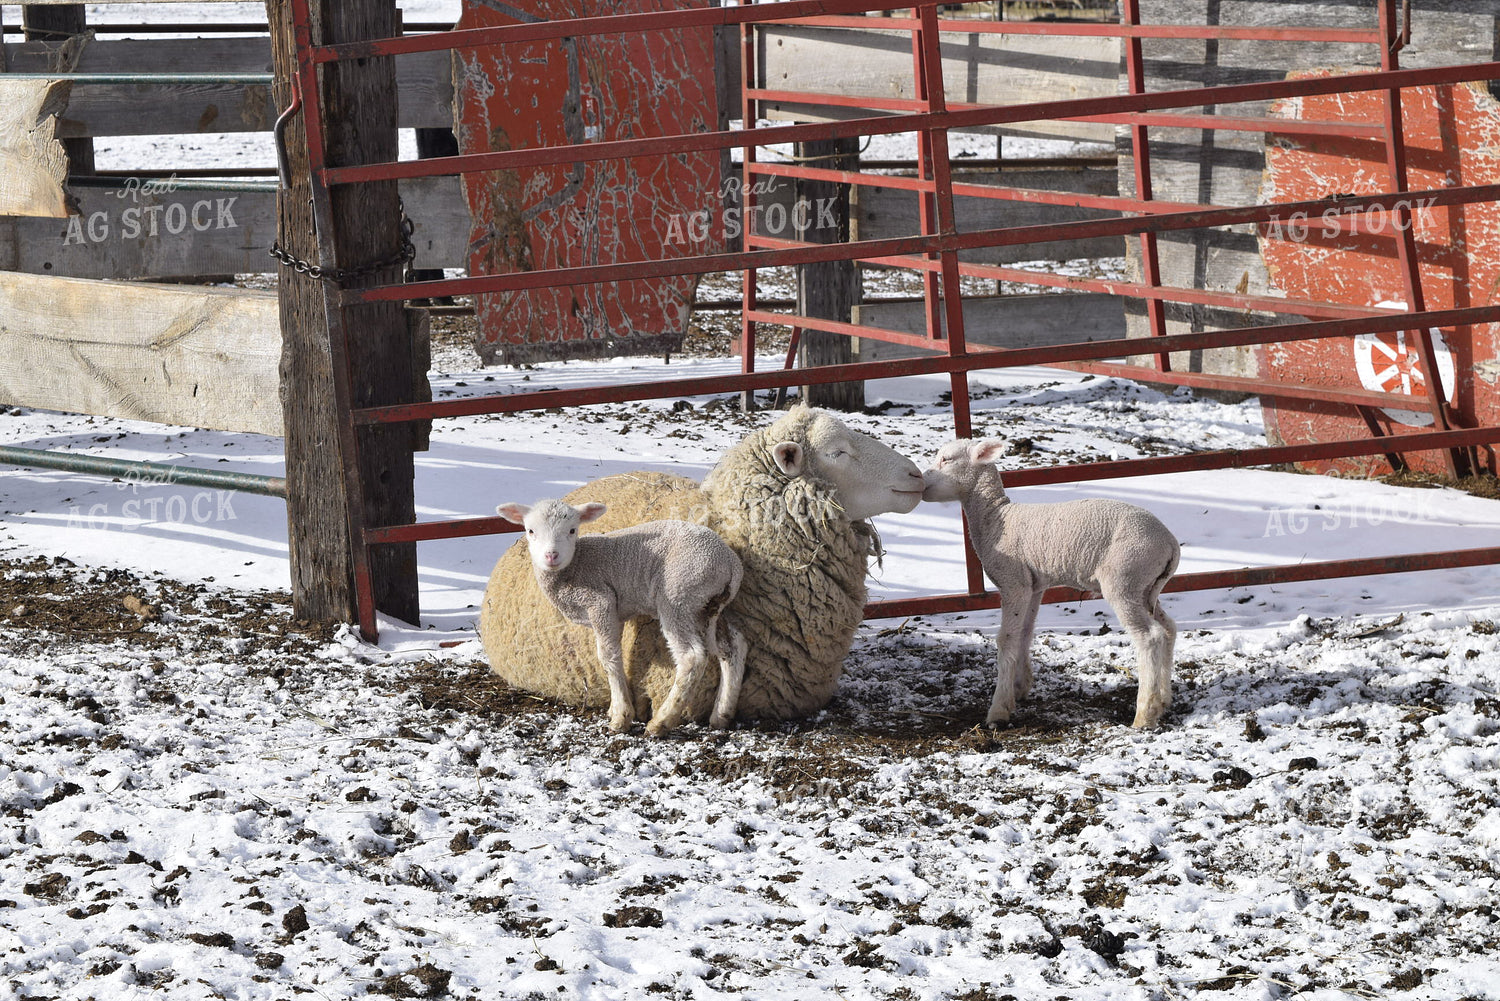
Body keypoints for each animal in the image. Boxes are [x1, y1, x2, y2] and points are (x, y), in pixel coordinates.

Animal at [495, 498, 746, 736]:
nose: (551, 556)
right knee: (731, 646)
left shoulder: (600, 601)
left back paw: (662, 721)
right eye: (530, 531)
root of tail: (730, 563)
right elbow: (618, 655)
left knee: (692, 656)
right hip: (708, 606)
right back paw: (722, 713)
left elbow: (608, 657)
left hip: (678, 595)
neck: (575, 566)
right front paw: (616, 706)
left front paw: (621, 717)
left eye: (572, 530)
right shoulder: (618, 612)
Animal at [922, 438, 1180, 729]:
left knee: (1150, 637)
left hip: (1124, 579)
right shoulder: (1034, 586)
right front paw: (1020, 687)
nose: (921, 482)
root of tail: (1170, 543)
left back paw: (1144, 714)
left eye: (947, 459)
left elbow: (1006, 639)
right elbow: (1025, 632)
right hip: (1145, 586)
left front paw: (999, 709)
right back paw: (1164, 700)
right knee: (1168, 628)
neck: (997, 519)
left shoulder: (1013, 582)